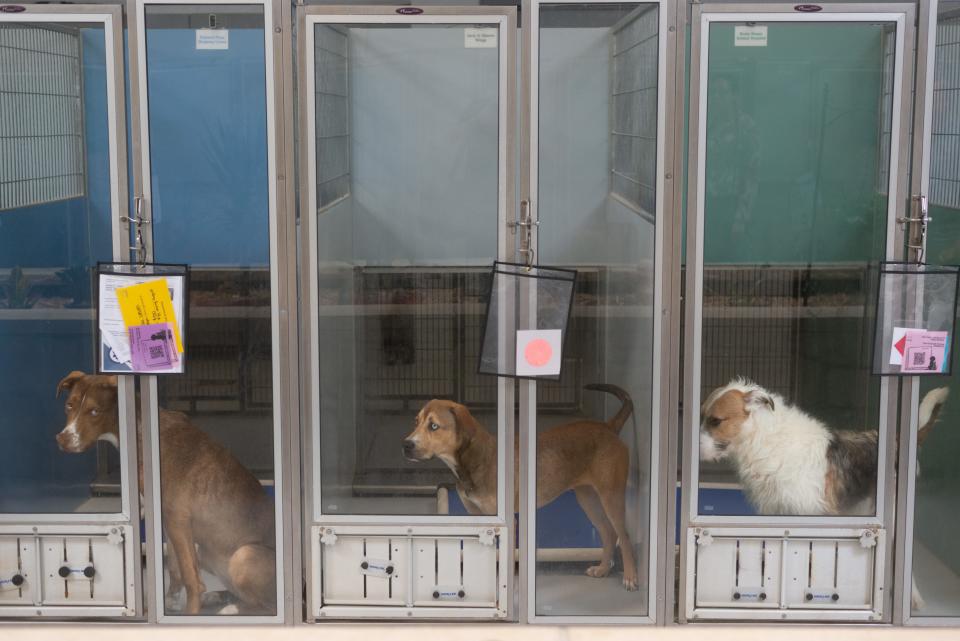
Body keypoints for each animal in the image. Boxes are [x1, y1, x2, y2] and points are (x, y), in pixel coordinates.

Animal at [54, 370, 276, 616]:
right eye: (69, 405)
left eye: (94, 411)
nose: (63, 438)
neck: (140, 430)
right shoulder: (168, 520)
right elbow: (174, 568)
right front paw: (168, 602)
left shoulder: (177, 517)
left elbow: (191, 579)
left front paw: (189, 614)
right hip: (207, 552)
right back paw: (219, 597)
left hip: (243, 555)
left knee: (269, 606)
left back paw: (232, 608)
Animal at [402, 382, 640, 588]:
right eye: (416, 421)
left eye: (434, 426)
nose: (406, 445)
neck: (473, 462)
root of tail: (609, 427)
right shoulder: (476, 514)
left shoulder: (508, 521)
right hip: (587, 497)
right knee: (609, 533)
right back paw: (602, 569)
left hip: (611, 496)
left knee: (624, 536)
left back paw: (630, 577)